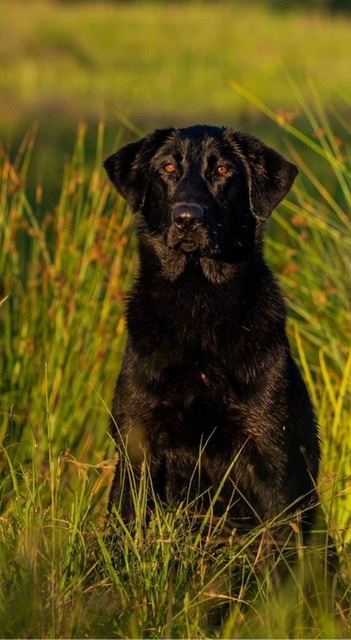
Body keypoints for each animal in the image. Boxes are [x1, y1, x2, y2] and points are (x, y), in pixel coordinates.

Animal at [103, 124, 320, 540]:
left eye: (222, 170)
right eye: (168, 167)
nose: (188, 218)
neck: (197, 304)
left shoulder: (271, 455)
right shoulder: (136, 447)